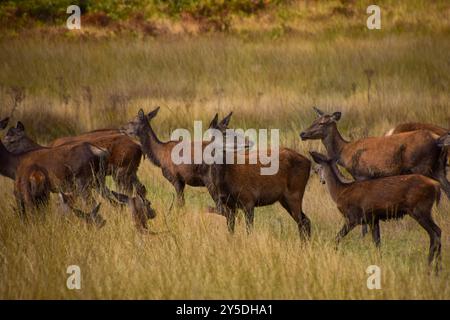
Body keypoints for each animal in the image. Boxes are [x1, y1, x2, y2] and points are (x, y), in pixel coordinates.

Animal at [312, 152, 442, 270]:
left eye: (318, 169)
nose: (320, 179)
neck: (339, 191)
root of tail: (436, 185)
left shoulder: (354, 217)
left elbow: (337, 237)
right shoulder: (373, 219)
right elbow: (377, 243)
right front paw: (379, 261)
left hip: (419, 209)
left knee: (434, 233)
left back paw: (430, 265)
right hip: (423, 210)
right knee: (438, 231)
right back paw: (437, 267)